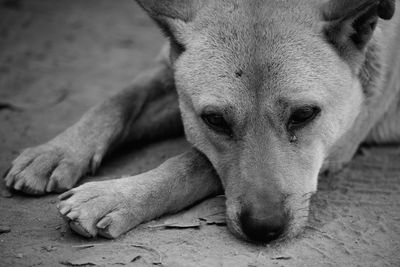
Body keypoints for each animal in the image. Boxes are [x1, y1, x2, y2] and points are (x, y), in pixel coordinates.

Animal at [3, 0, 400, 244]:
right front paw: (58, 150)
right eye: (214, 120)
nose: (264, 228)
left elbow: (191, 165)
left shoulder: (338, 147)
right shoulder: (169, 72)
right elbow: (118, 100)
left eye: (304, 115)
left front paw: (114, 196)